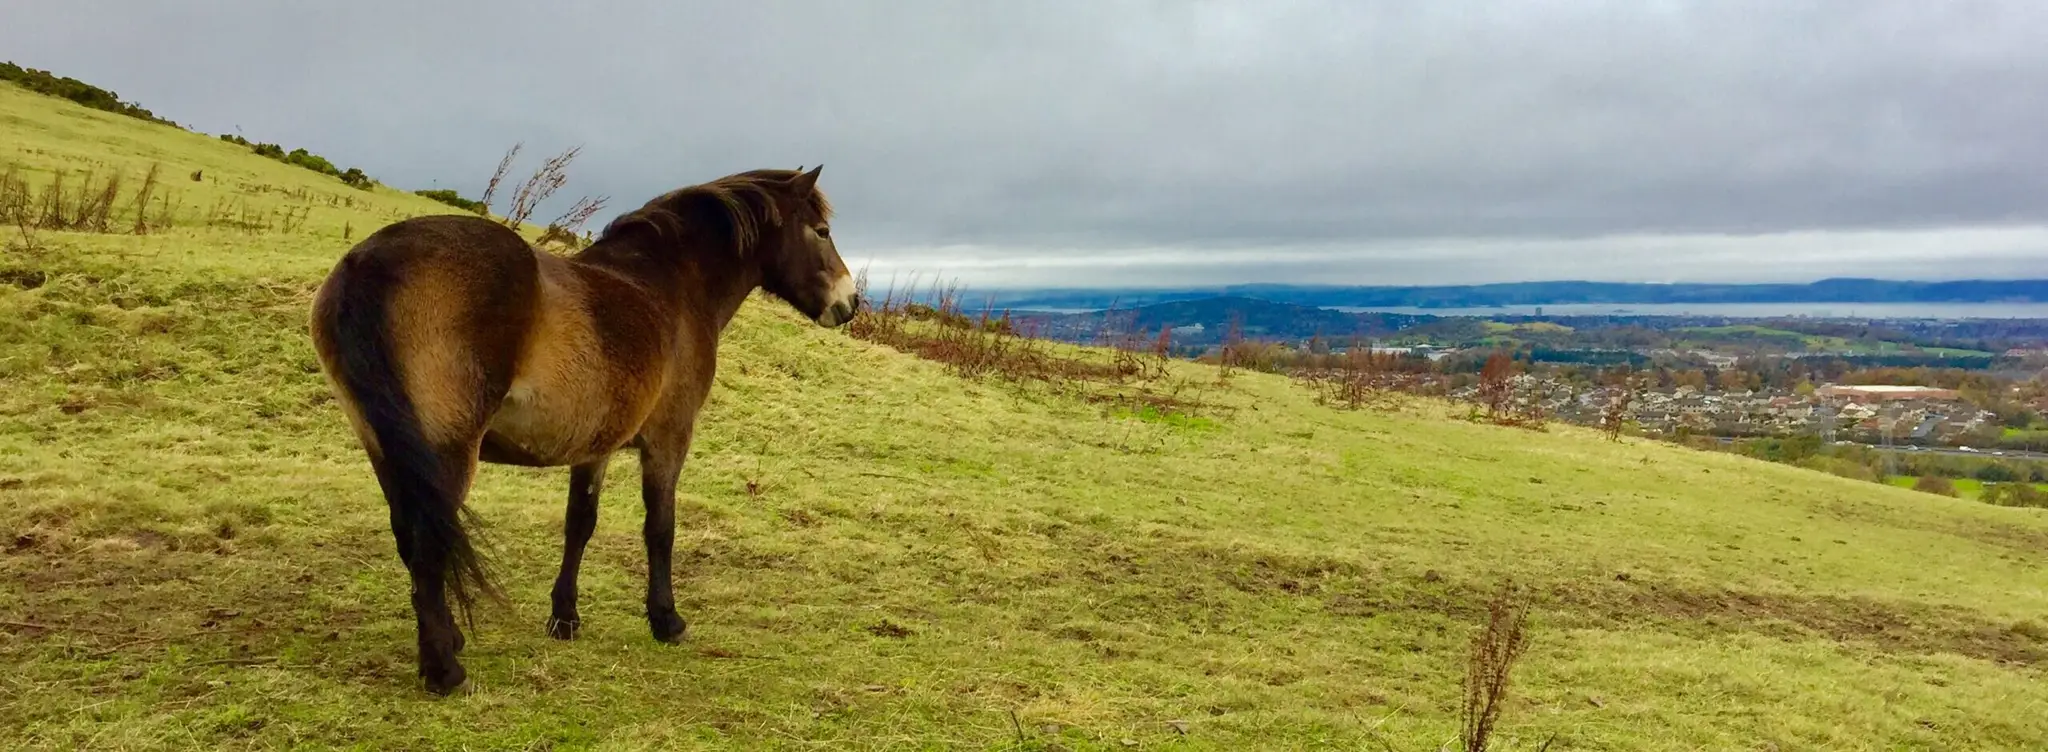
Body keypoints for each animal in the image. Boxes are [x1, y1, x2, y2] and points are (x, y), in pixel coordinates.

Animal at [307, 165, 857, 695]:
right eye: (822, 231)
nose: (850, 303)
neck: (670, 286)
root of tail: (369, 264)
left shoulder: (596, 446)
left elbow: (580, 524)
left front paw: (564, 617)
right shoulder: (668, 439)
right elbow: (660, 528)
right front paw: (666, 620)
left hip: (387, 450)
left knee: (411, 537)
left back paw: (449, 639)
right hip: (446, 453)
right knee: (426, 544)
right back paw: (445, 670)